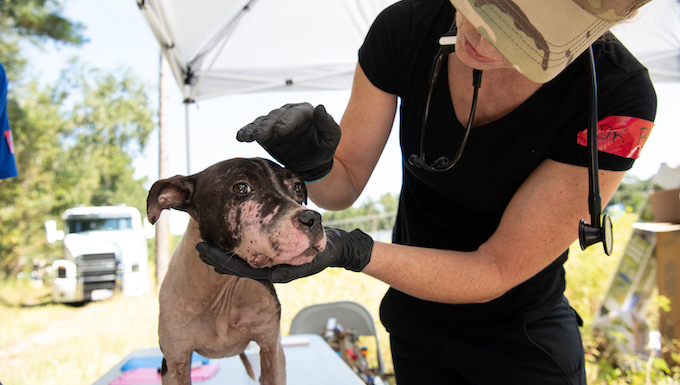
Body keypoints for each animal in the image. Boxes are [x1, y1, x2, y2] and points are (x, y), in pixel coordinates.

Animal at [147, 158, 328, 382]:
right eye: (241, 188)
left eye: (296, 187)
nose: (313, 219)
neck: (223, 290)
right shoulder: (175, 361)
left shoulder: (272, 349)